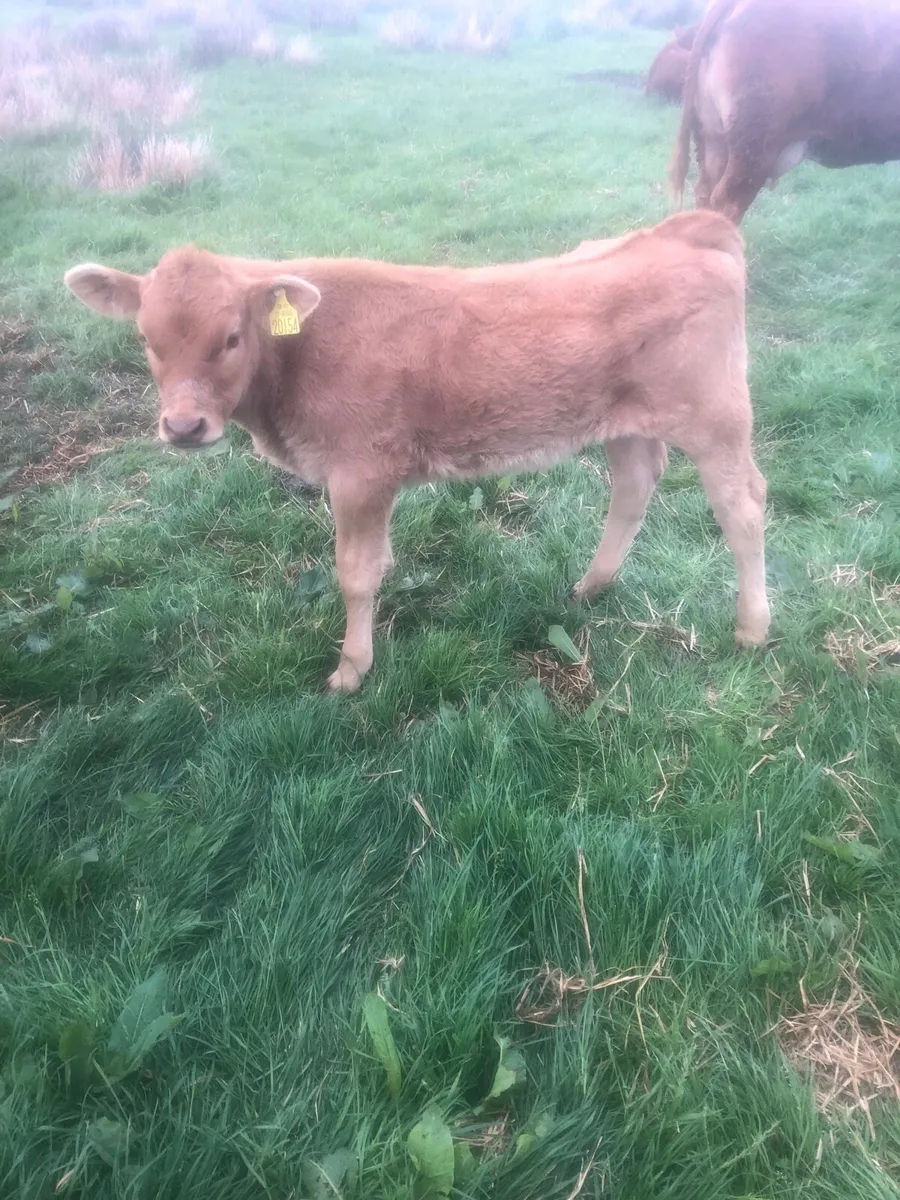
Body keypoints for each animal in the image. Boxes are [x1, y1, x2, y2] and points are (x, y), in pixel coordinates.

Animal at [64, 210, 770, 693]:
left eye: (232, 337)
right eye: (147, 339)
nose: (184, 427)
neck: (300, 351)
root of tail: (687, 228)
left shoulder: (359, 473)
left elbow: (354, 574)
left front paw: (351, 669)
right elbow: (377, 563)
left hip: (717, 416)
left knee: (743, 508)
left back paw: (752, 629)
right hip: (622, 422)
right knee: (635, 485)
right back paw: (591, 587)